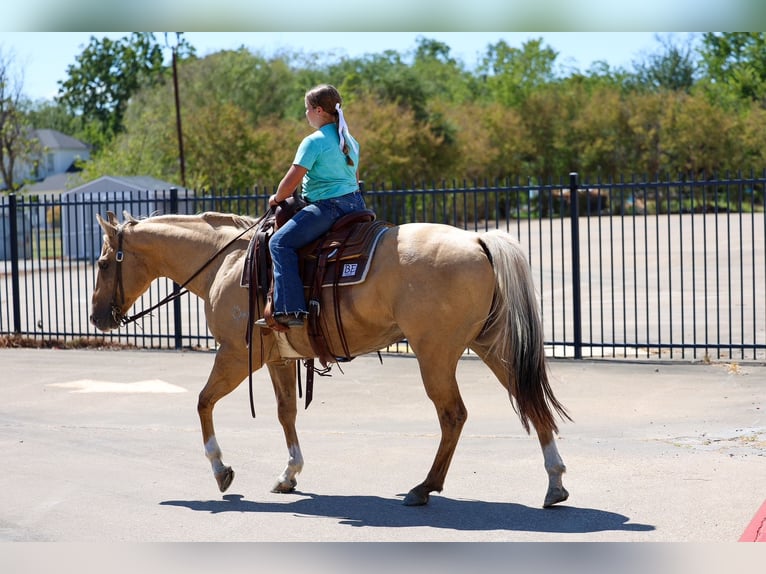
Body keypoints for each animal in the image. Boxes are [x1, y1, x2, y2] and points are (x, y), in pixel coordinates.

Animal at [90, 210, 571, 507]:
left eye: (102, 263)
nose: (97, 317)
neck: (227, 262)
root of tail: (477, 238)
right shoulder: (278, 358)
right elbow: (286, 413)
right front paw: (290, 473)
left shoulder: (235, 354)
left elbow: (203, 402)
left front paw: (221, 469)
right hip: (492, 346)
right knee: (530, 399)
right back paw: (555, 483)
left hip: (436, 354)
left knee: (453, 415)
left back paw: (425, 487)